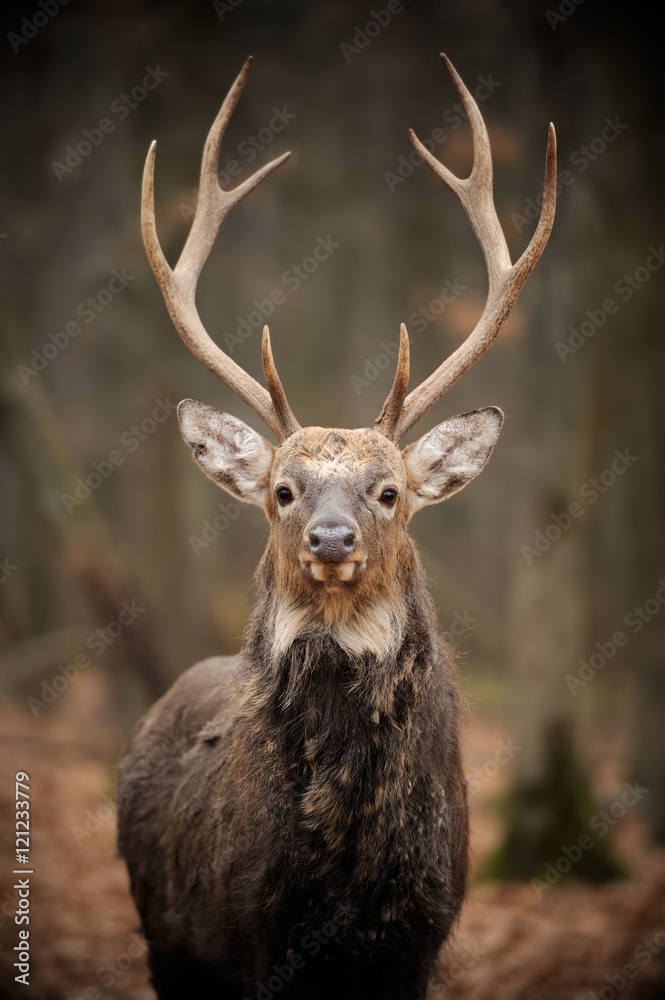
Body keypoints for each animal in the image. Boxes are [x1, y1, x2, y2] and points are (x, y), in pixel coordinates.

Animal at [119, 52, 556, 1000]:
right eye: (284, 490)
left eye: (387, 492)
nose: (329, 539)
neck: (350, 865)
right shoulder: (250, 931)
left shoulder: (422, 932)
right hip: (164, 934)